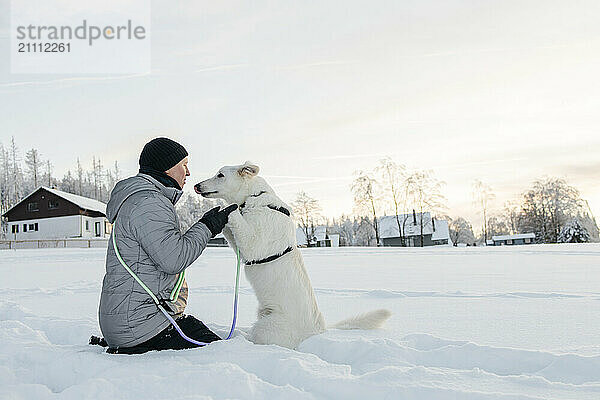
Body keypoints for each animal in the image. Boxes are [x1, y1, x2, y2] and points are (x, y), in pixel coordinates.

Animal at [196, 161, 394, 348]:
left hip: (264, 327)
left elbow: (233, 214)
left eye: (220, 175)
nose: (196, 186)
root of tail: (317, 332)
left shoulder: (252, 244)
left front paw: (225, 208)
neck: (254, 197)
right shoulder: (241, 245)